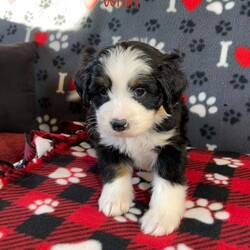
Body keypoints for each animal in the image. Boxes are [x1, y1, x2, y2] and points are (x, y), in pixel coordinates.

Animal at [74, 40, 188, 235]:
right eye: (102, 92)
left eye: (140, 91)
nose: (118, 124)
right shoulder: (107, 141)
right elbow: (115, 168)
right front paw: (114, 199)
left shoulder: (170, 144)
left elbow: (167, 179)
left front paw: (161, 217)